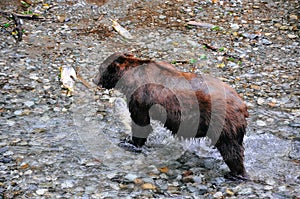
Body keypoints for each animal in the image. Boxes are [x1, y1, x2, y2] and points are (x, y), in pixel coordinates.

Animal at [93, 52, 248, 180]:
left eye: (100, 69)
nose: (94, 80)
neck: (129, 77)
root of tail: (242, 105)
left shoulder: (141, 97)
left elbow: (140, 122)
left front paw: (130, 143)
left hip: (222, 121)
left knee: (231, 149)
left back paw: (235, 174)